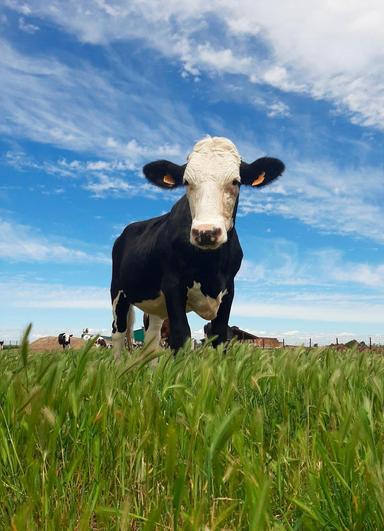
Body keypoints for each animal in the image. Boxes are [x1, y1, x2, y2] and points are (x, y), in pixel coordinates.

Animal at [109, 136, 284, 358]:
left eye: (235, 181)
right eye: (186, 182)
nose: (206, 232)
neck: (210, 266)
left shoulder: (229, 289)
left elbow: (220, 335)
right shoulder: (172, 284)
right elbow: (180, 334)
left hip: (155, 306)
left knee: (151, 340)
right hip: (118, 291)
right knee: (118, 333)